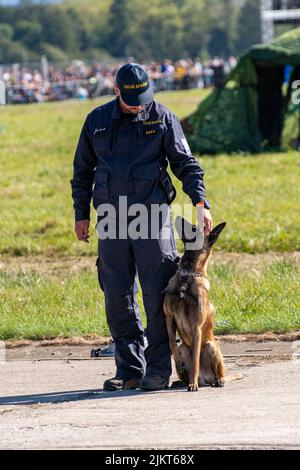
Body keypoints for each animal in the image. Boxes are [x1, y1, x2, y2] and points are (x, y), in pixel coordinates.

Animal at [163, 218, 226, 392]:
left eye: (194, 229)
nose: (177, 217)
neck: (187, 276)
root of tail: (206, 380)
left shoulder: (196, 327)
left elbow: (196, 359)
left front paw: (193, 384)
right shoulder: (169, 317)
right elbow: (172, 342)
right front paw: (179, 364)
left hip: (211, 346)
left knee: (217, 371)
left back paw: (215, 380)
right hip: (185, 348)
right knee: (183, 354)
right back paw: (181, 380)